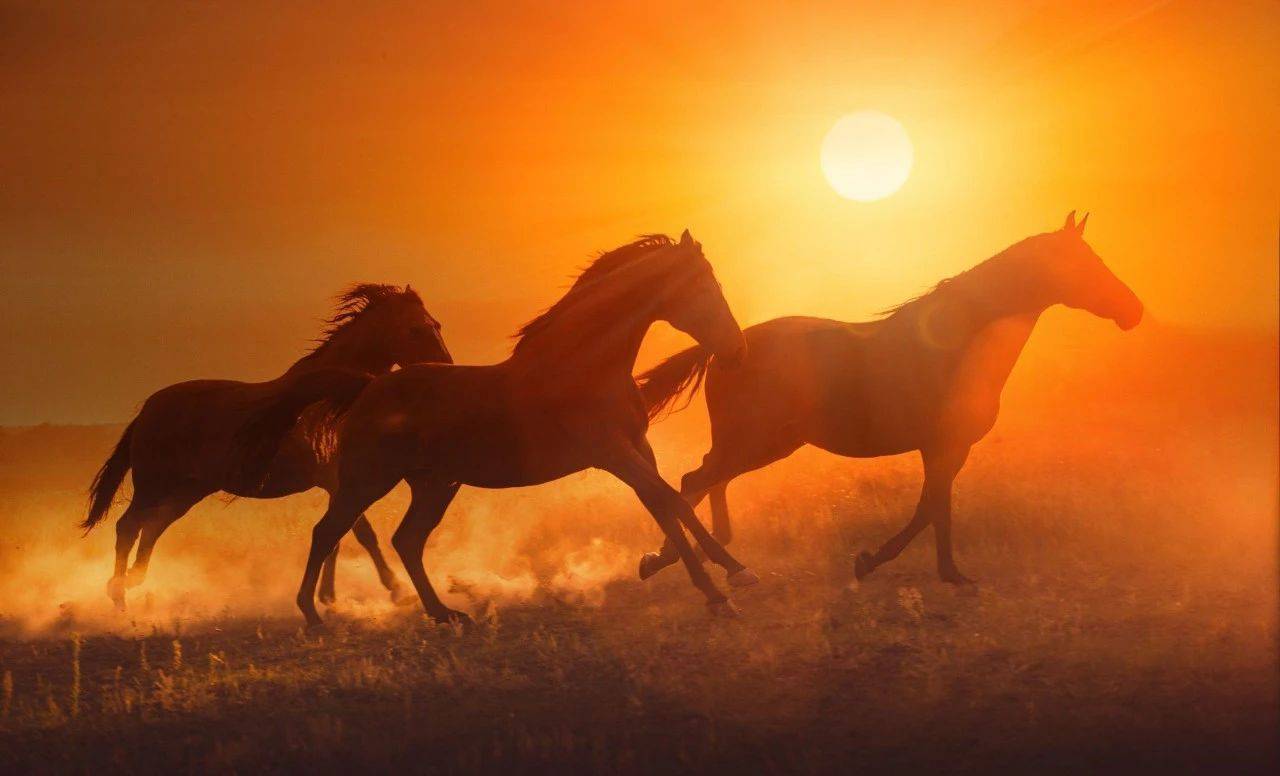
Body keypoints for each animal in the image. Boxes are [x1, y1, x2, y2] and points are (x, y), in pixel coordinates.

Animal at [81, 283, 452, 610]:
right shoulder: (340, 480)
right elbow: (359, 532)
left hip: (185, 492)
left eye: (436, 324)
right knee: (128, 526)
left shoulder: (337, 483)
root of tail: (147, 410)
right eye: (415, 329)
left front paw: (328, 596)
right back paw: (119, 594)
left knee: (152, 528)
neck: (330, 397)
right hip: (153, 485)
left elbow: (339, 535)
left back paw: (132, 581)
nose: (446, 368)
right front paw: (396, 590)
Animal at [235, 231, 758, 628]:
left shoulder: (637, 448)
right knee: (330, 531)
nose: (735, 350)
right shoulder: (612, 452)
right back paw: (315, 617)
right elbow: (671, 500)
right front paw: (729, 582)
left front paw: (707, 581)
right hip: (367, 480)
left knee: (406, 540)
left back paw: (445, 614)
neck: (586, 365)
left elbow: (664, 504)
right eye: (703, 286)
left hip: (434, 484)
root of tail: (368, 387)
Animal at [636, 213, 1144, 584]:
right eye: (1085, 264)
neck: (961, 345)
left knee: (707, 481)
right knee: (695, 479)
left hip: (761, 444)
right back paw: (676, 561)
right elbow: (929, 509)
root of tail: (728, 348)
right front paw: (882, 564)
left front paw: (942, 572)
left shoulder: (948, 449)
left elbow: (934, 509)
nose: (1133, 311)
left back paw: (695, 554)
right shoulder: (944, 446)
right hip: (755, 442)